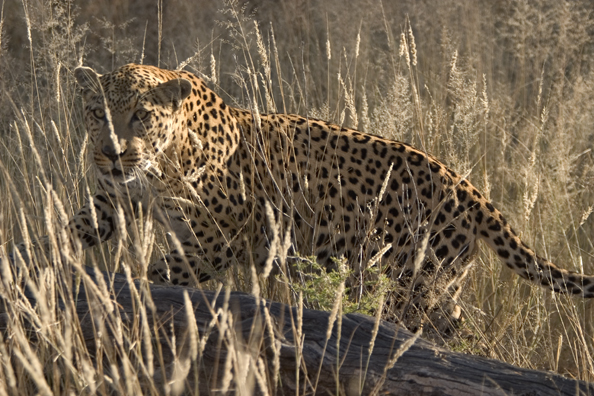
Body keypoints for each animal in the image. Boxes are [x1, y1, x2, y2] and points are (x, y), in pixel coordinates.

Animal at [13, 64, 592, 334]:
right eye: (97, 114)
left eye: (141, 116)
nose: (109, 153)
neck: (161, 164)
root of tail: (468, 187)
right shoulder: (114, 197)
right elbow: (78, 226)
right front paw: (37, 258)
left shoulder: (213, 242)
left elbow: (156, 275)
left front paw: (126, 290)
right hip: (431, 283)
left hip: (410, 282)